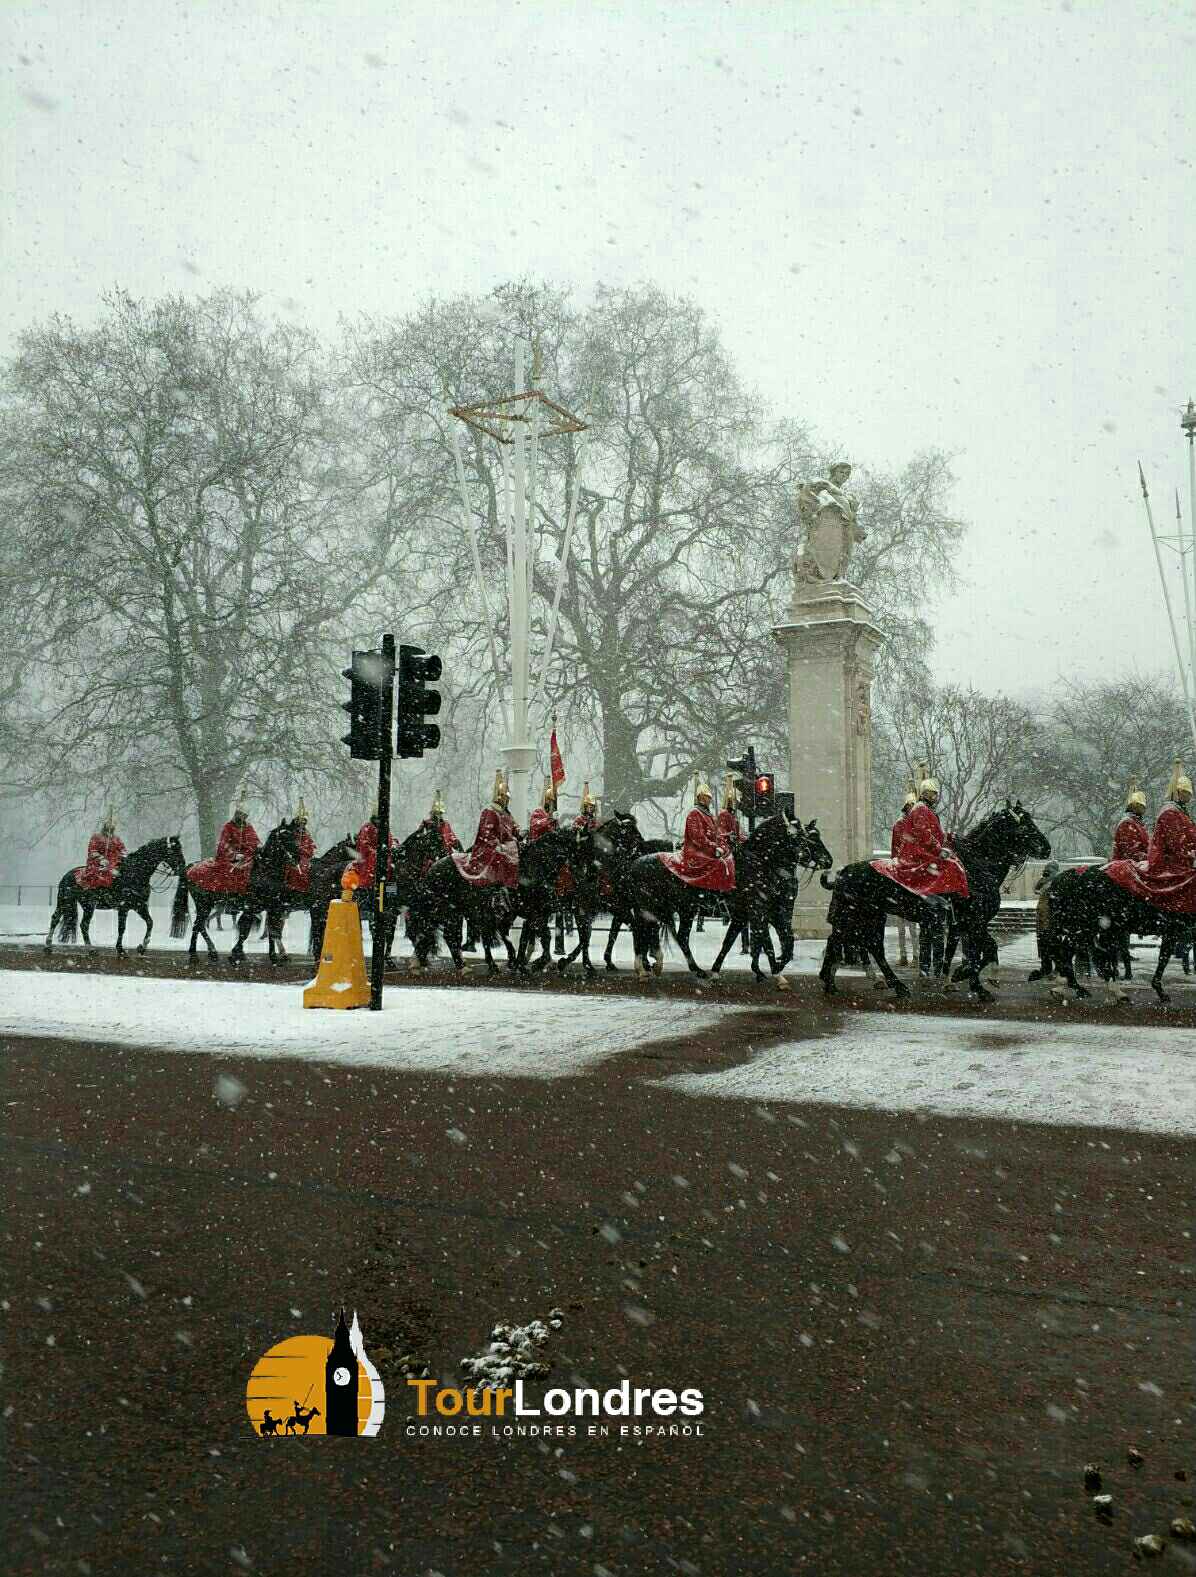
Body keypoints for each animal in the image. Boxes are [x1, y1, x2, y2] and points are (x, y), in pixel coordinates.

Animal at [45, 836, 189, 956]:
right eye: (174, 850)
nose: (183, 866)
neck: (134, 874)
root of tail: (68, 875)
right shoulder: (123, 908)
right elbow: (122, 928)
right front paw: (120, 949)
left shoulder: (140, 906)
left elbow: (150, 923)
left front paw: (142, 947)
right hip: (76, 903)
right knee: (76, 923)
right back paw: (88, 948)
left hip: (75, 904)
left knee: (59, 919)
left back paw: (50, 945)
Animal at [171, 821, 301, 964]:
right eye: (284, 837)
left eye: (294, 836)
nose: (297, 858)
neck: (264, 872)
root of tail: (191, 867)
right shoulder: (251, 908)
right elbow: (245, 931)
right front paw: (235, 953)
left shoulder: (272, 908)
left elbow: (271, 931)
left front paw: (272, 956)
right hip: (204, 904)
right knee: (198, 925)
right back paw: (197, 954)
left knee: (200, 926)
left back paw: (209, 951)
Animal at [623, 813, 823, 979]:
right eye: (799, 835)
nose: (825, 860)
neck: (758, 865)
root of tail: (634, 864)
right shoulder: (758, 911)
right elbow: (767, 943)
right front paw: (776, 973)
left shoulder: (748, 915)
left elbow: (733, 941)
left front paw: (719, 970)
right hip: (654, 908)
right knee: (647, 933)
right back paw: (648, 967)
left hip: (679, 910)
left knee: (674, 936)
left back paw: (679, 968)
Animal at [819, 801, 1051, 1002]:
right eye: (1024, 824)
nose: (1047, 848)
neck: (977, 868)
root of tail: (843, 872)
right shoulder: (973, 921)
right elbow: (986, 950)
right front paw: (967, 979)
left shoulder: (966, 924)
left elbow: (974, 952)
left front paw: (966, 980)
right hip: (856, 915)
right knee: (853, 943)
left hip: (871, 915)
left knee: (864, 944)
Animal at [1029, 865, 1196, 1004]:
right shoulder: (1173, 931)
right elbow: (1163, 960)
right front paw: (1161, 992)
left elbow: (1164, 958)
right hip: (1081, 928)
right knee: (1066, 955)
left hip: (1083, 930)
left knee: (1066, 955)